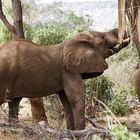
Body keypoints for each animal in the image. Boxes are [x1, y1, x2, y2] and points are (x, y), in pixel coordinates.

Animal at [0, 28, 130, 130]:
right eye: (103, 37)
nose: (122, 34)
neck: (72, 41)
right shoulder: (68, 71)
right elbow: (76, 98)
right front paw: (80, 133)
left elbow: (66, 101)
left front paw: (71, 132)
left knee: (14, 103)